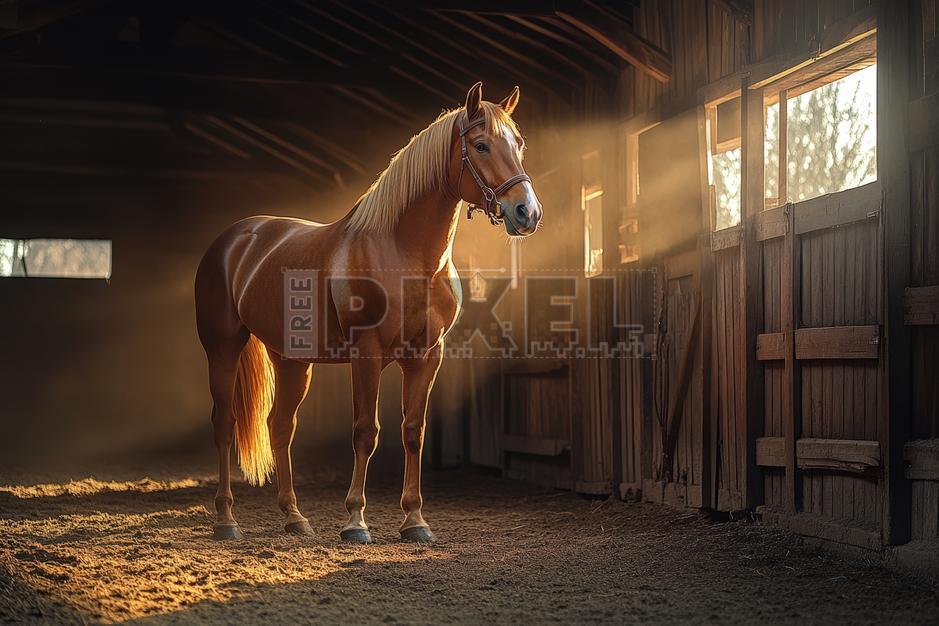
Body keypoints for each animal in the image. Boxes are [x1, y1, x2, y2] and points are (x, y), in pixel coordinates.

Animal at [194, 82, 543, 543]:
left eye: (518, 144)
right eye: (481, 144)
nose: (527, 212)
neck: (403, 255)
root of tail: (234, 239)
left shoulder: (427, 357)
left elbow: (413, 431)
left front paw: (415, 521)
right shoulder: (368, 354)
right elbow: (365, 432)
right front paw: (355, 522)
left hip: (291, 360)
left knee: (280, 427)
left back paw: (294, 517)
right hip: (222, 348)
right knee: (224, 423)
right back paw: (226, 519)